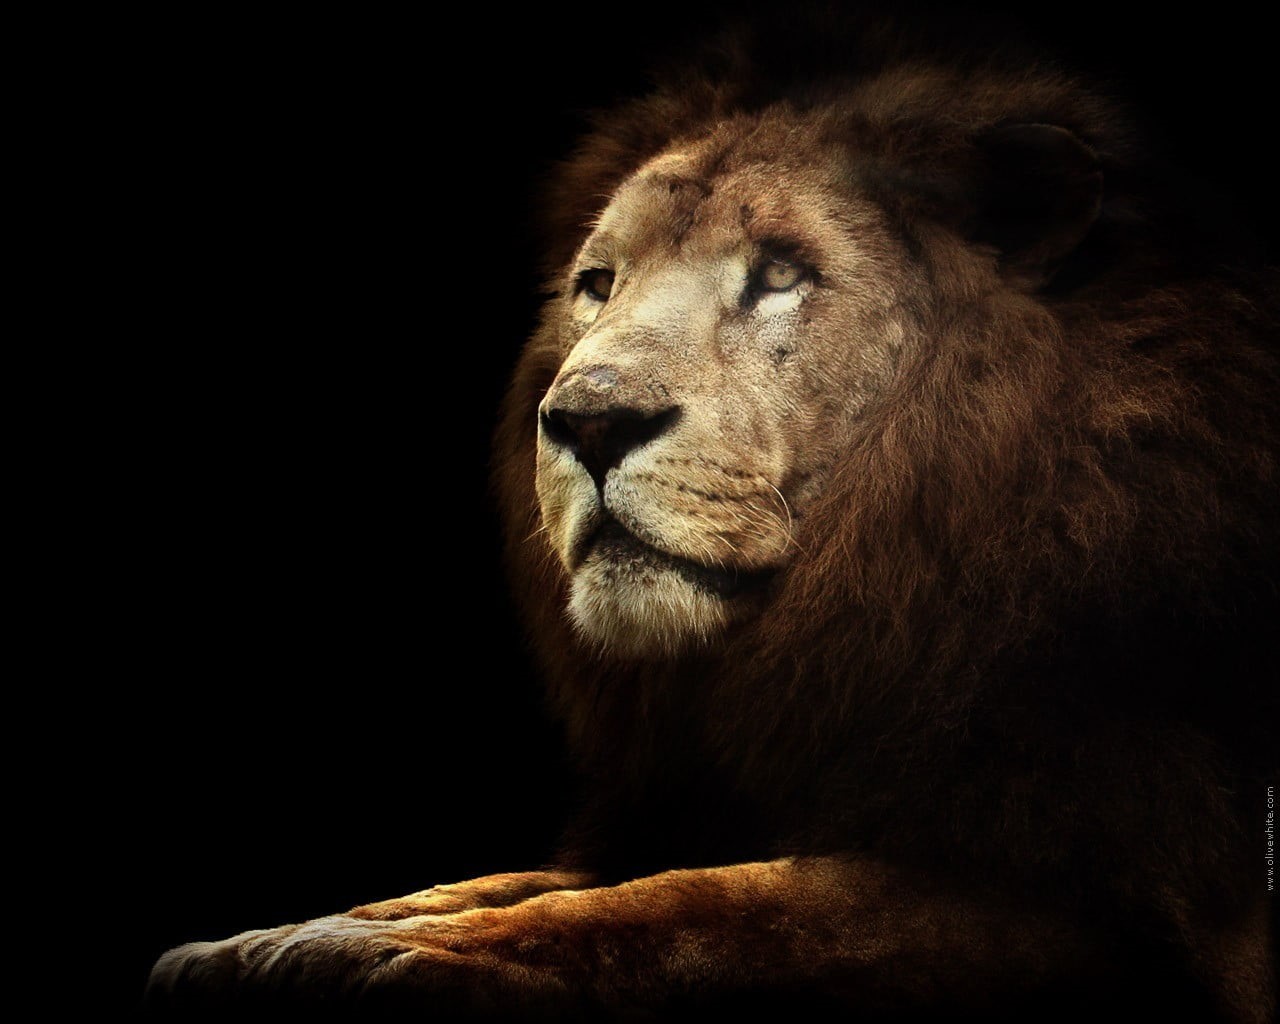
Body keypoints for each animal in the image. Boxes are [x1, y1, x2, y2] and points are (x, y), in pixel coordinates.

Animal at [148, 17, 1278, 1020]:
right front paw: (286, 935)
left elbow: (706, 906)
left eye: (780, 274)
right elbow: (520, 880)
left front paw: (389, 957)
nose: (588, 421)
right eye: (597, 285)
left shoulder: (1111, 908)